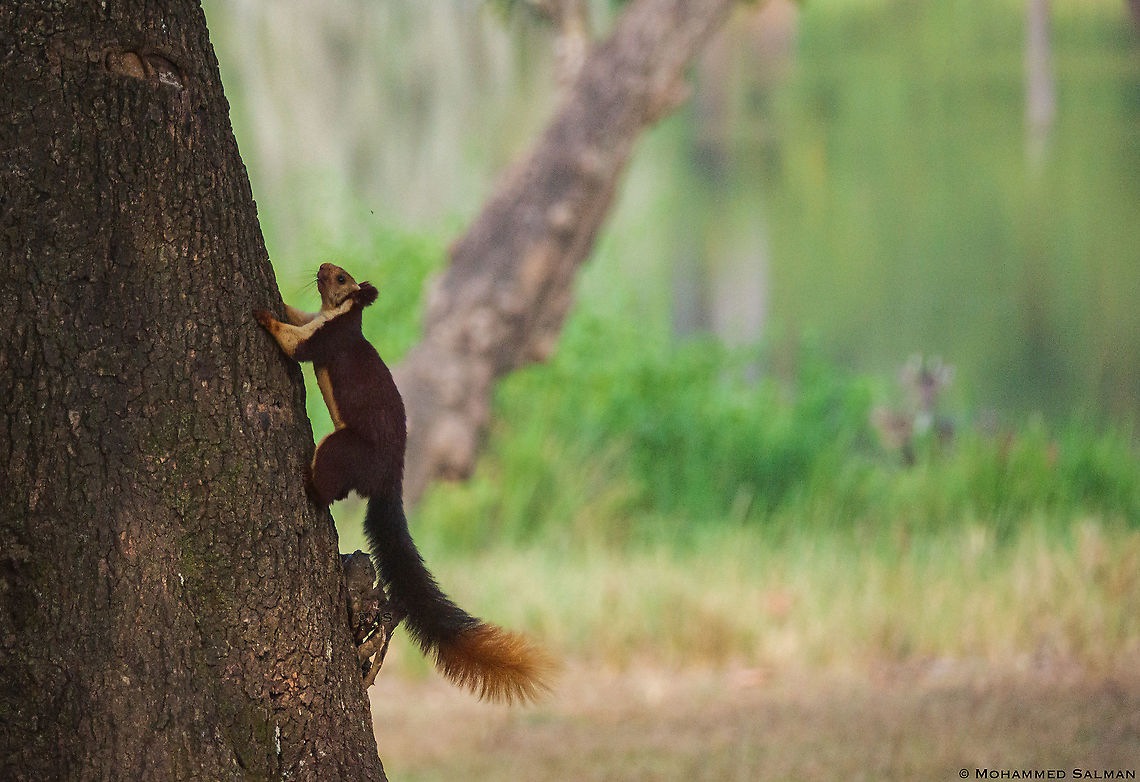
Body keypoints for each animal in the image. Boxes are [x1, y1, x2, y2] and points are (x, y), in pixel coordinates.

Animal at [255, 263, 552, 703]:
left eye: (341, 278)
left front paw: (265, 317)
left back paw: (309, 481)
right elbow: (299, 315)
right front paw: (280, 302)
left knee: (328, 487)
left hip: (344, 448)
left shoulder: (326, 338)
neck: (339, 314)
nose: (323, 266)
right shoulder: (316, 319)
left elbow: (295, 345)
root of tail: (388, 482)